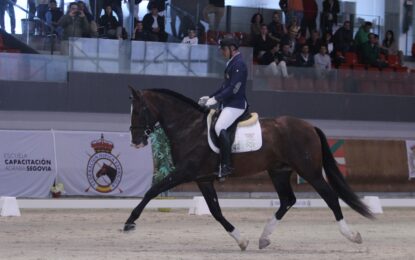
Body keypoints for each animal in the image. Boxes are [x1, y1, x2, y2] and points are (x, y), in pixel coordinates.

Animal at [124, 87, 374, 250]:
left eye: (139, 110)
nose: (135, 141)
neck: (189, 127)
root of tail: (309, 126)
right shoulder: (203, 179)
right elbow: (215, 211)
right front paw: (241, 240)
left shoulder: (185, 172)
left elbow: (152, 191)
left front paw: (130, 222)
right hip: (279, 171)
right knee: (287, 200)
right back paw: (264, 238)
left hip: (308, 170)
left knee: (329, 196)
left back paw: (352, 235)